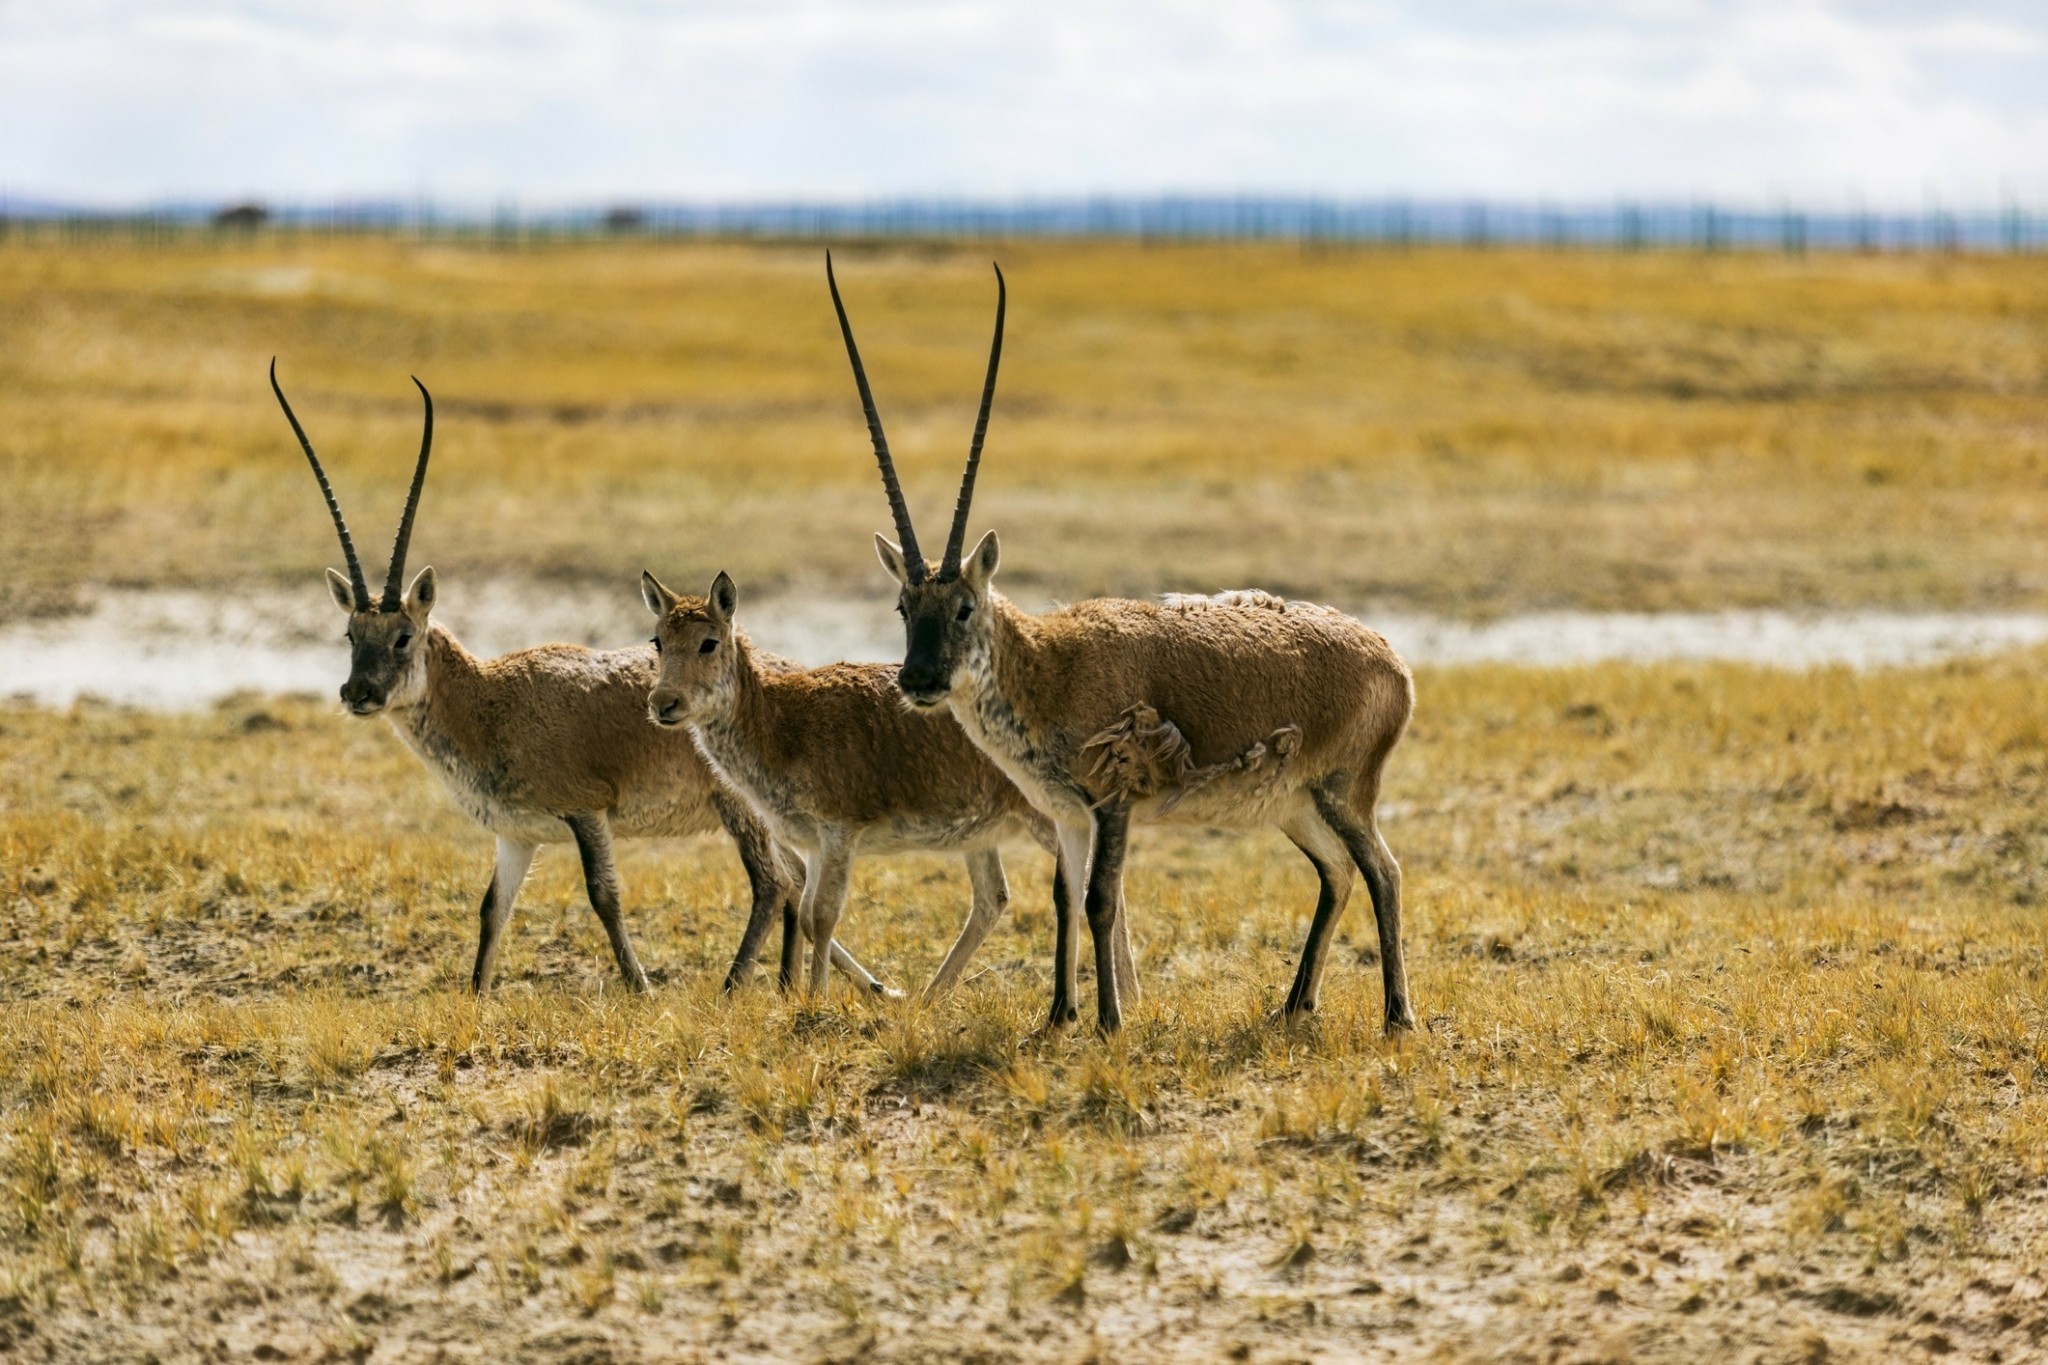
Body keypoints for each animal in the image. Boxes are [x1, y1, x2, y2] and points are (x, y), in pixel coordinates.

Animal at [266, 360, 888, 1002]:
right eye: (350, 633)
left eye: (402, 636)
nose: (358, 694)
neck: (488, 699)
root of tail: (780, 674)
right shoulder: (517, 836)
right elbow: (492, 909)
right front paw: (477, 997)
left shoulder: (586, 811)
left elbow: (603, 896)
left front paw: (640, 988)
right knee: (794, 879)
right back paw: (814, 985)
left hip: (737, 809)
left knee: (773, 881)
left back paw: (740, 986)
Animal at [638, 564, 1138, 1002]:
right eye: (657, 639)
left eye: (708, 642)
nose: (663, 703)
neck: (778, 726)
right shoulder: (812, 842)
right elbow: (808, 915)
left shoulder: (840, 827)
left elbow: (823, 914)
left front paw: (815, 1002)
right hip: (981, 833)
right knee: (993, 897)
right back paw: (928, 995)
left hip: (1049, 818)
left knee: (1098, 885)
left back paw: (1129, 994)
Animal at [823, 255, 1417, 1035]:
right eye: (903, 605)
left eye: (963, 607)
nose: (918, 679)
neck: (1046, 663)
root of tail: (1393, 662)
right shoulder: (1068, 814)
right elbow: (1063, 900)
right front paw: (1056, 1017)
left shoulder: (1112, 803)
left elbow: (1101, 900)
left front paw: (1107, 1020)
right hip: (1295, 804)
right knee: (1338, 872)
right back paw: (1293, 1007)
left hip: (1344, 792)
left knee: (1383, 871)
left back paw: (1397, 1016)